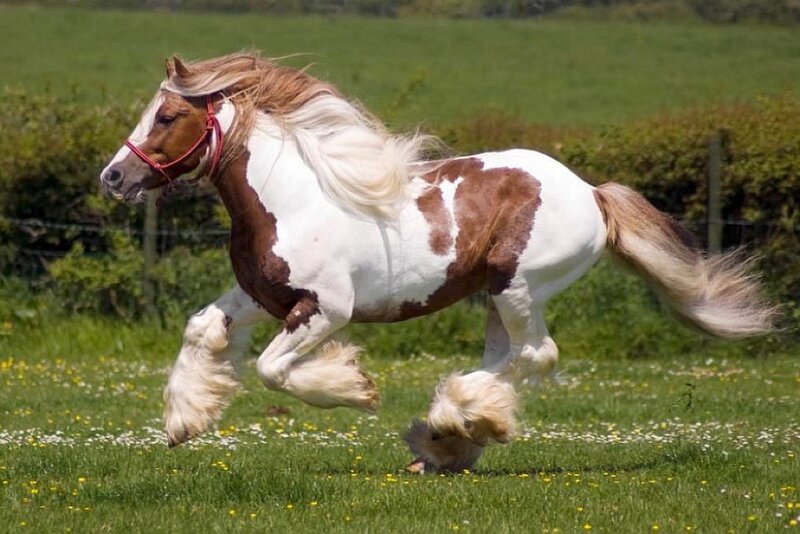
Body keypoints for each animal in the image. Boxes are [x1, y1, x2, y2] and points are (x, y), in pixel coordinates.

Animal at [100, 52, 775, 473]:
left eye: (167, 116)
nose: (113, 177)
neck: (292, 199)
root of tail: (591, 194)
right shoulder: (259, 296)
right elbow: (200, 329)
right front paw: (185, 421)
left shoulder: (326, 310)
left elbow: (271, 370)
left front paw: (355, 388)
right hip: (498, 298)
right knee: (509, 358)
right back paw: (448, 439)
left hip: (518, 286)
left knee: (536, 355)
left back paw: (450, 424)